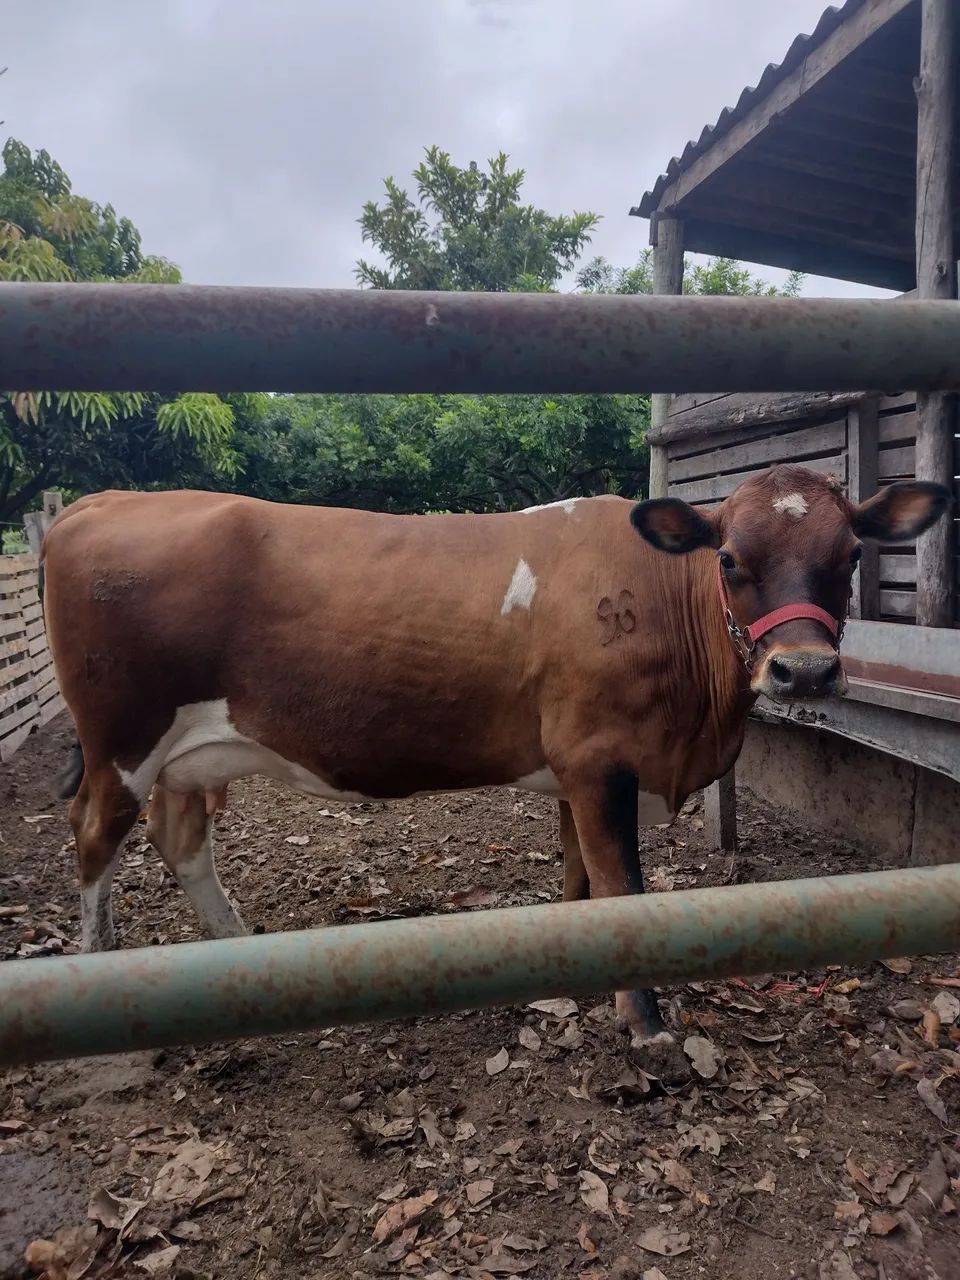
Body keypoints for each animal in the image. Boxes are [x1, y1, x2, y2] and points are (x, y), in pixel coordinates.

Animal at [42, 465, 948, 1079]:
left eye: (850, 552)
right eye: (728, 557)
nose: (805, 671)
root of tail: (104, 501)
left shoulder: (577, 769)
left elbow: (580, 880)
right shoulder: (600, 758)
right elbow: (622, 888)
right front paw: (646, 1022)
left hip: (187, 756)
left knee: (181, 839)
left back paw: (238, 956)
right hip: (122, 741)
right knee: (94, 840)